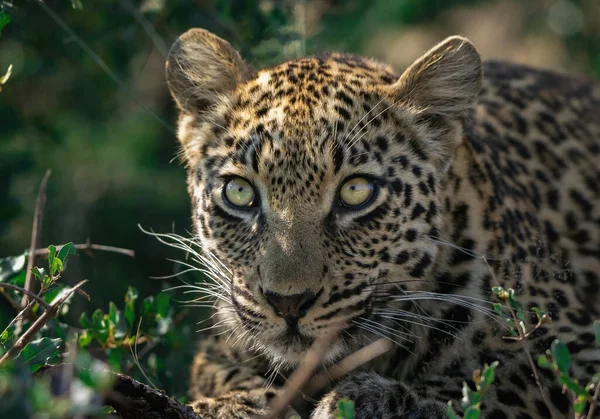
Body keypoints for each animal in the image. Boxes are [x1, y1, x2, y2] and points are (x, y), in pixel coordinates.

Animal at [164, 27, 600, 418]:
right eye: (239, 192)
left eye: (357, 191)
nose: (288, 302)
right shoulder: (218, 348)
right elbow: (223, 374)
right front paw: (232, 404)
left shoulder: (575, 344)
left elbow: (494, 381)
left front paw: (368, 400)